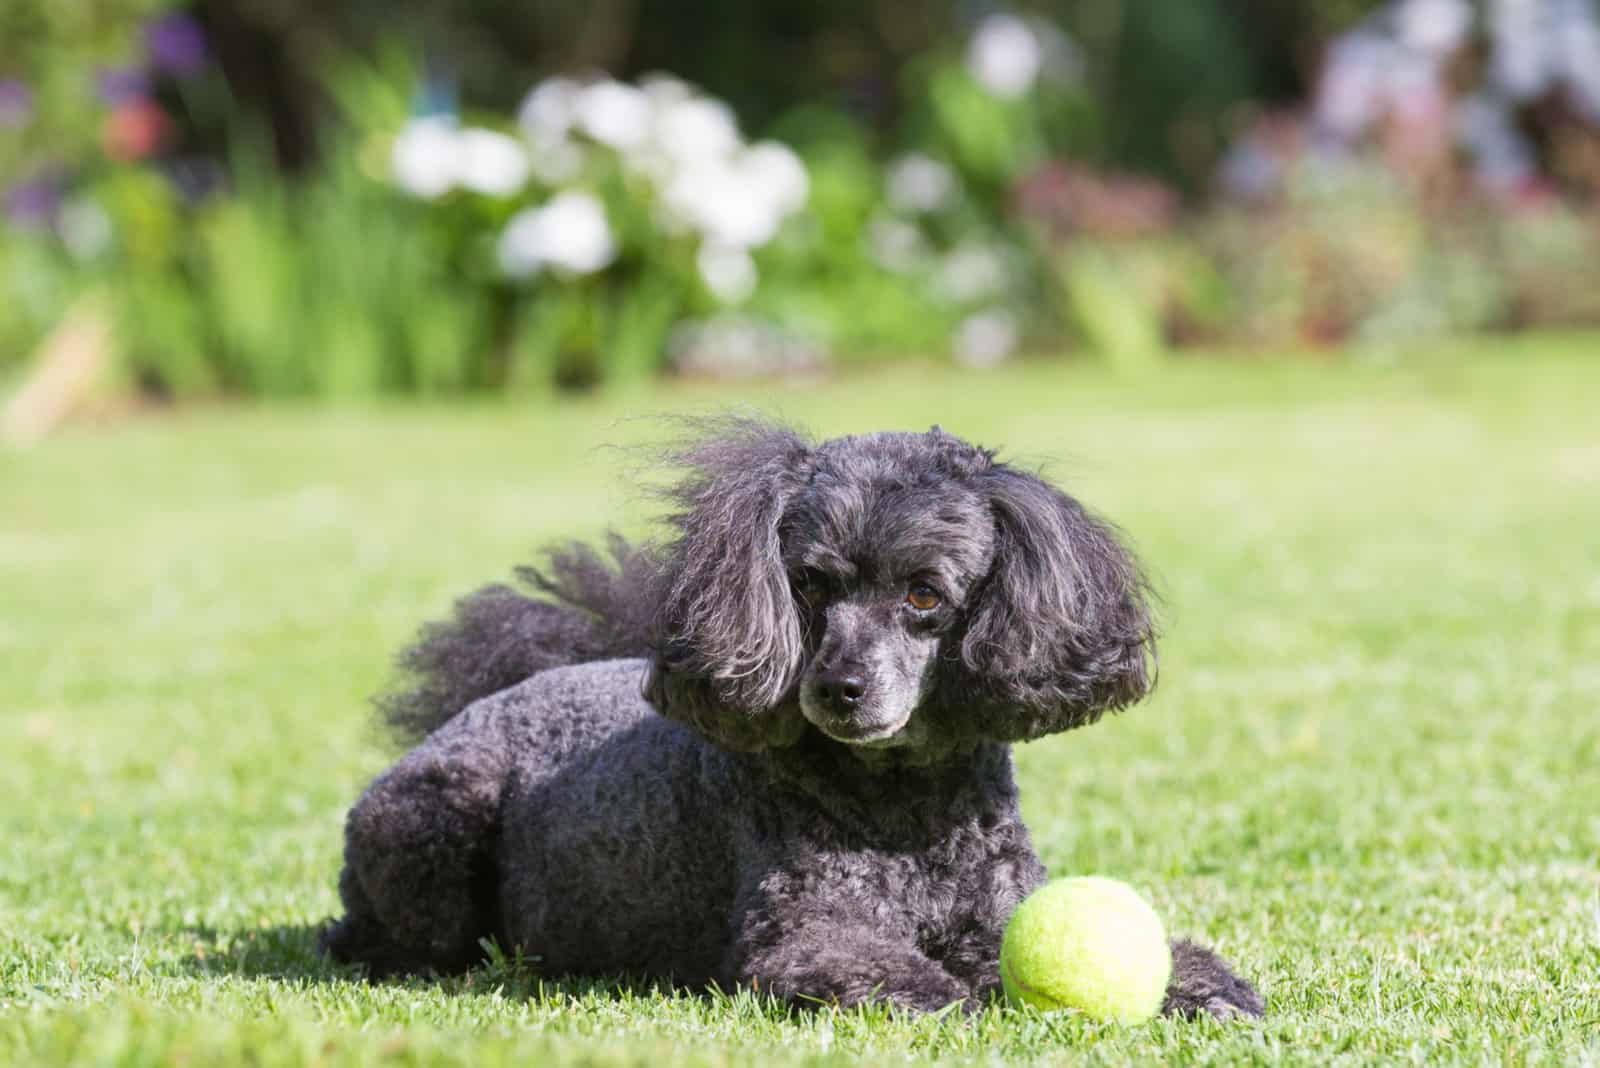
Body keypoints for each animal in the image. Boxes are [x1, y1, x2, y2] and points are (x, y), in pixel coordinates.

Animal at [321, 418, 1260, 1016]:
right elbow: (890, 973)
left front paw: (1201, 985)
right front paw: (945, 995)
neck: (903, 810)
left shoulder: (1000, 909)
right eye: (806, 584)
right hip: (432, 827)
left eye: (925, 595)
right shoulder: (803, 933)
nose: (839, 687)